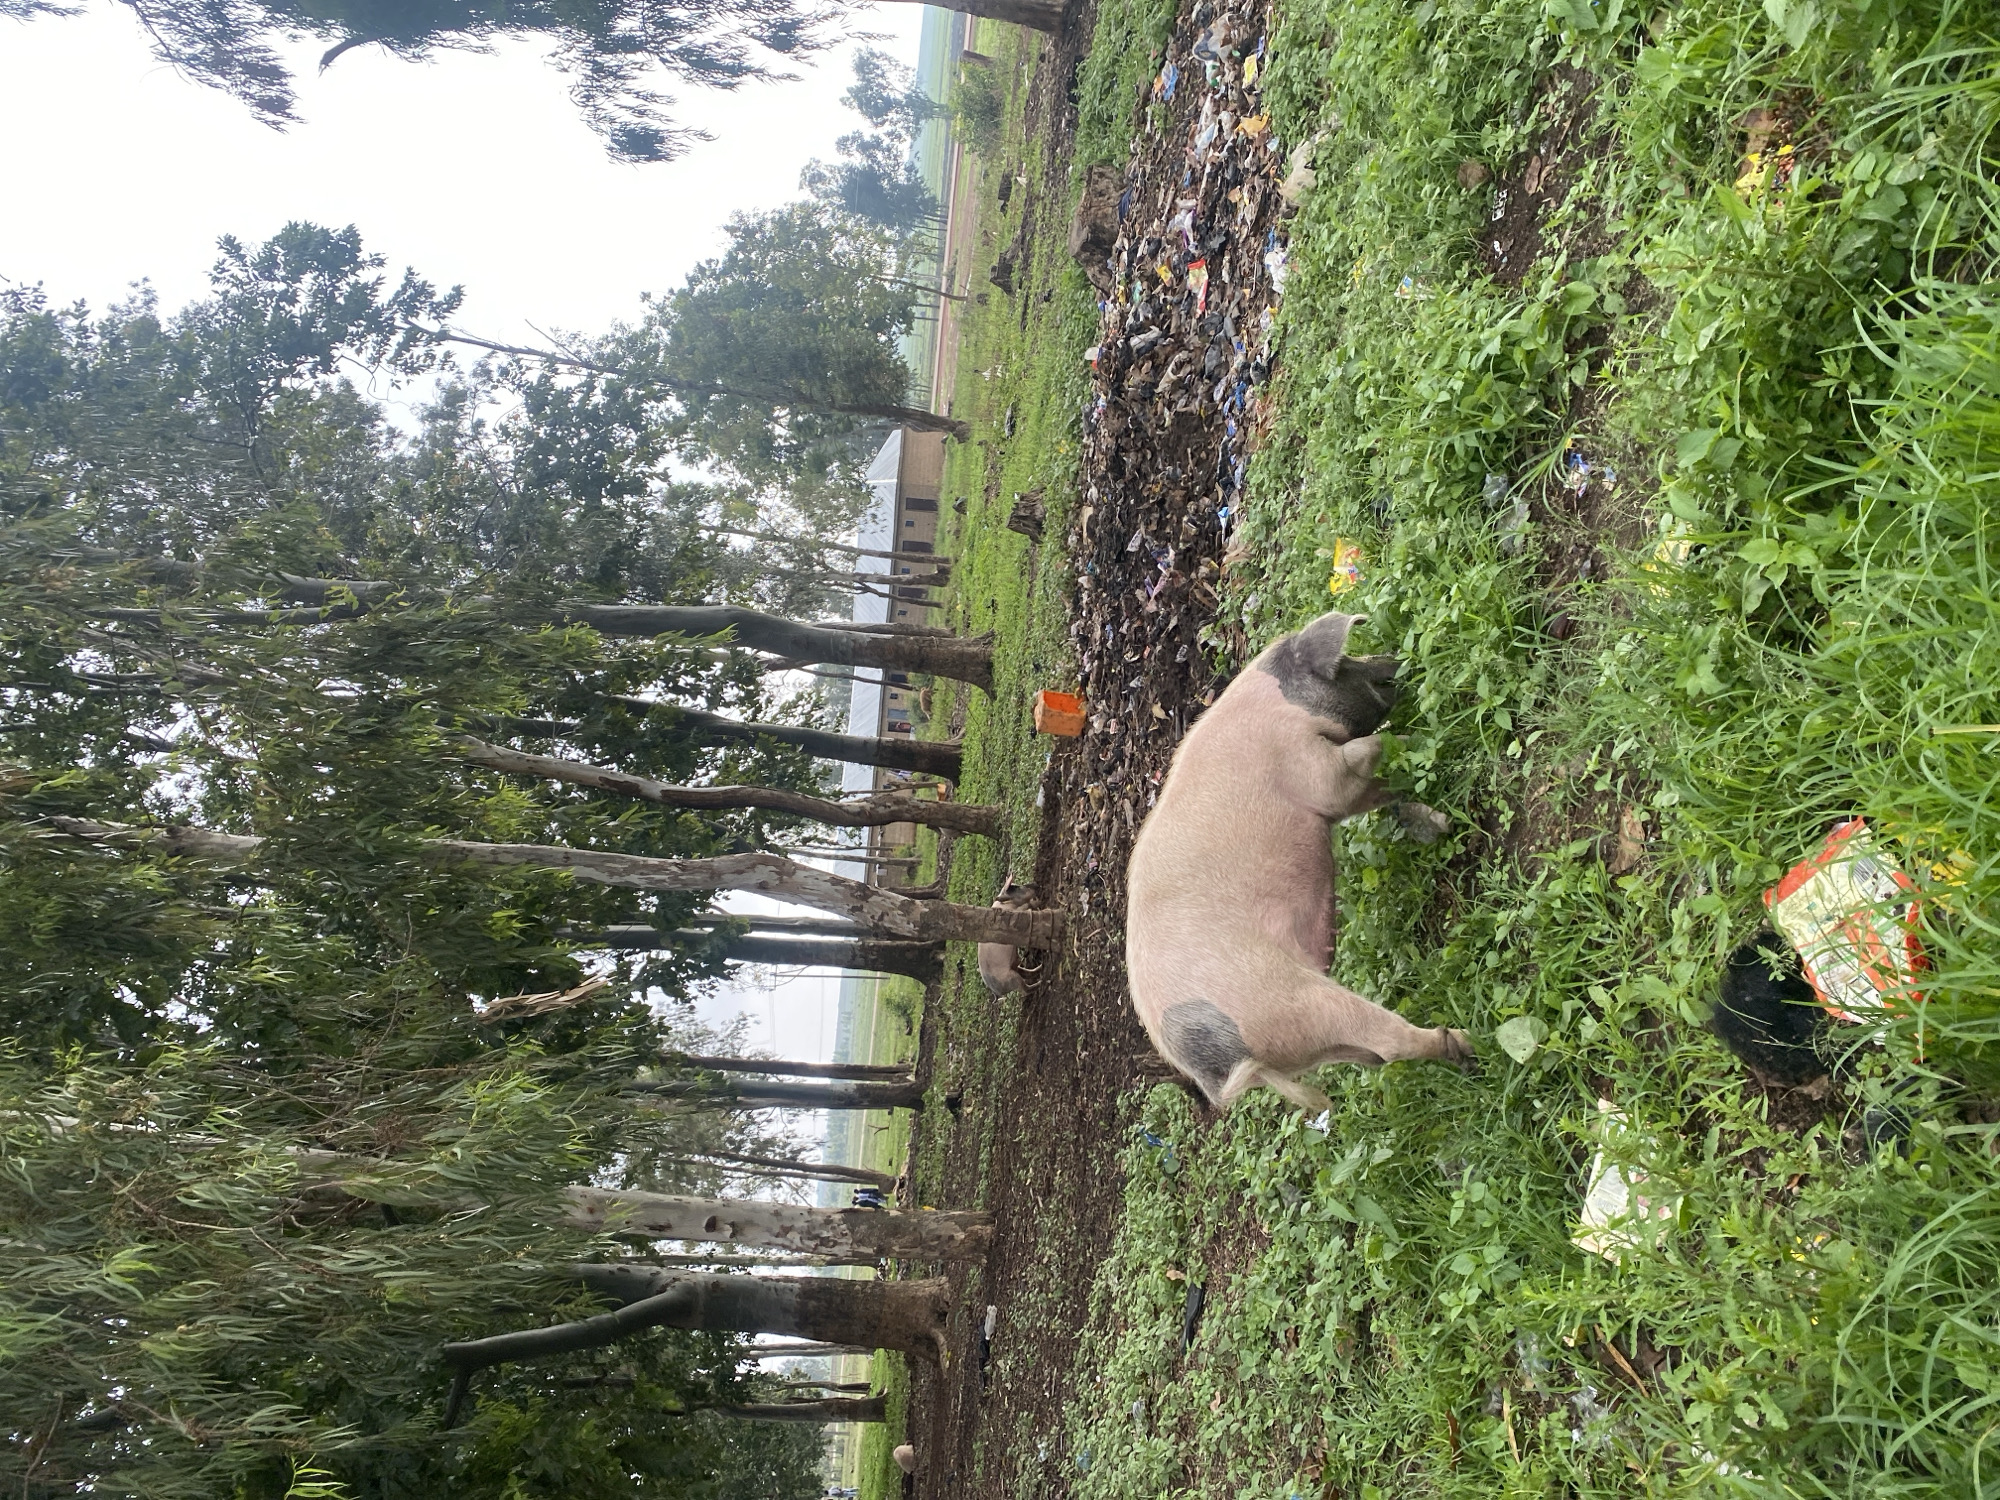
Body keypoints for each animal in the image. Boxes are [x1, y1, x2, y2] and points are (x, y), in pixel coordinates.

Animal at [1125, 610, 1473, 1111]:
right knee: (1386, 1042)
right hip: (1292, 999)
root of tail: (1217, 1072)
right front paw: (1407, 742)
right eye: (1344, 663)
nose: (1395, 662)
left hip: (1304, 1039)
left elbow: (1383, 788)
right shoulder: (1313, 770)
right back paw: (1466, 1042)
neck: (1279, 707)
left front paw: (1437, 823)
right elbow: (1367, 755)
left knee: (1370, 1056)